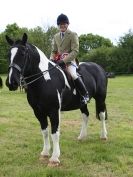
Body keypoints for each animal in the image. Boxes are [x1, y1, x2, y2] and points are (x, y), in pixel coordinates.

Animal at [5, 32, 108, 166]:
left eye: (22, 54)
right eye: (9, 55)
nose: (11, 82)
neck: (44, 79)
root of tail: (99, 68)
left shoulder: (54, 111)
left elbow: (55, 132)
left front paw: (54, 158)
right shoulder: (38, 112)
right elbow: (44, 132)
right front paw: (44, 153)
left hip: (101, 98)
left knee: (101, 115)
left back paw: (103, 136)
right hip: (82, 103)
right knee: (85, 115)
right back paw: (81, 137)